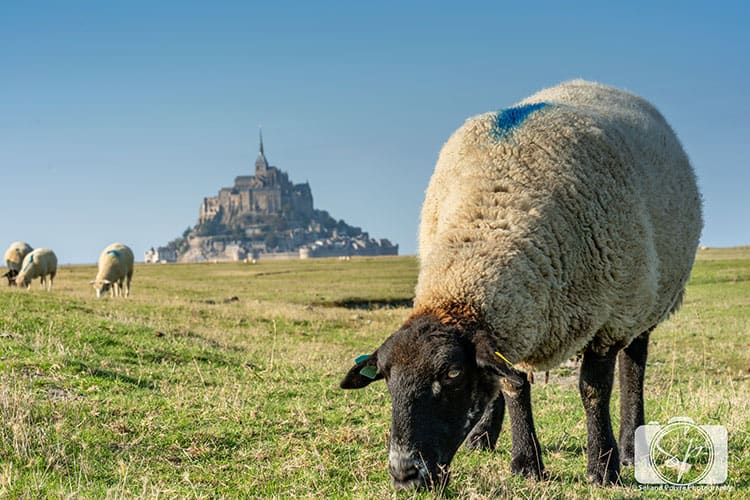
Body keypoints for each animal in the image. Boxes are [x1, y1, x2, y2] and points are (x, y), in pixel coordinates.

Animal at [340, 80, 702, 489]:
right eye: (386, 379)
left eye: (452, 374)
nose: (405, 474)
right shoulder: (521, 312)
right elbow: (513, 384)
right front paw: (527, 463)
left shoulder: (609, 320)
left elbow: (593, 390)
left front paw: (602, 467)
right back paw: (482, 437)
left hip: (645, 298)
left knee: (634, 367)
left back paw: (629, 448)